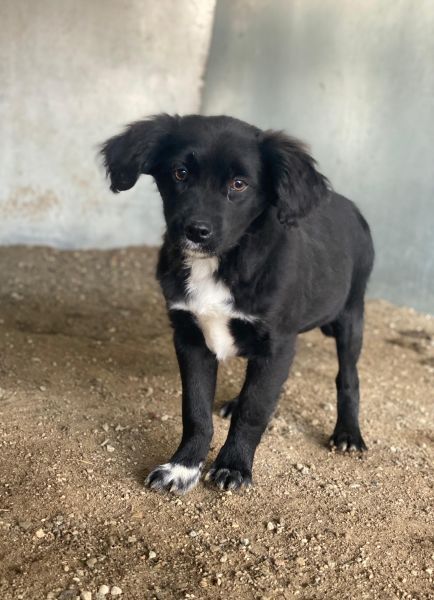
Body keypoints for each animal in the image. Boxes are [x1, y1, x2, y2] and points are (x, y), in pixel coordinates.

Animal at [101, 114, 374, 494]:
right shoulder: (190, 338)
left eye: (239, 184)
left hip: (351, 316)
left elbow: (254, 408)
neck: (223, 262)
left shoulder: (277, 343)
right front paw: (183, 466)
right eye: (180, 173)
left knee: (347, 377)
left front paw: (234, 465)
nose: (195, 231)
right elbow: (196, 409)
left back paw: (348, 432)